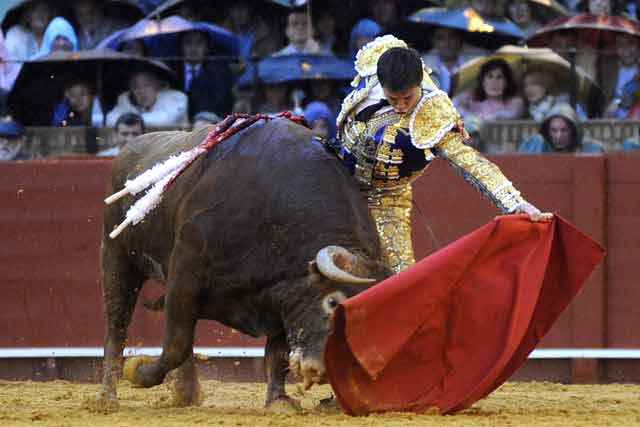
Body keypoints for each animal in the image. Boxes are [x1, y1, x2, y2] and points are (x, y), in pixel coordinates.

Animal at [97, 118, 392, 412]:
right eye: (332, 302)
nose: (319, 371)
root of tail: (128, 149)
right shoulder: (185, 271)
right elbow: (176, 344)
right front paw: (138, 372)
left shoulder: (281, 295)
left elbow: (277, 353)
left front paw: (278, 401)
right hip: (118, 258)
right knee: (118, 325)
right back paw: (107, 397)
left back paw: (185, 393)